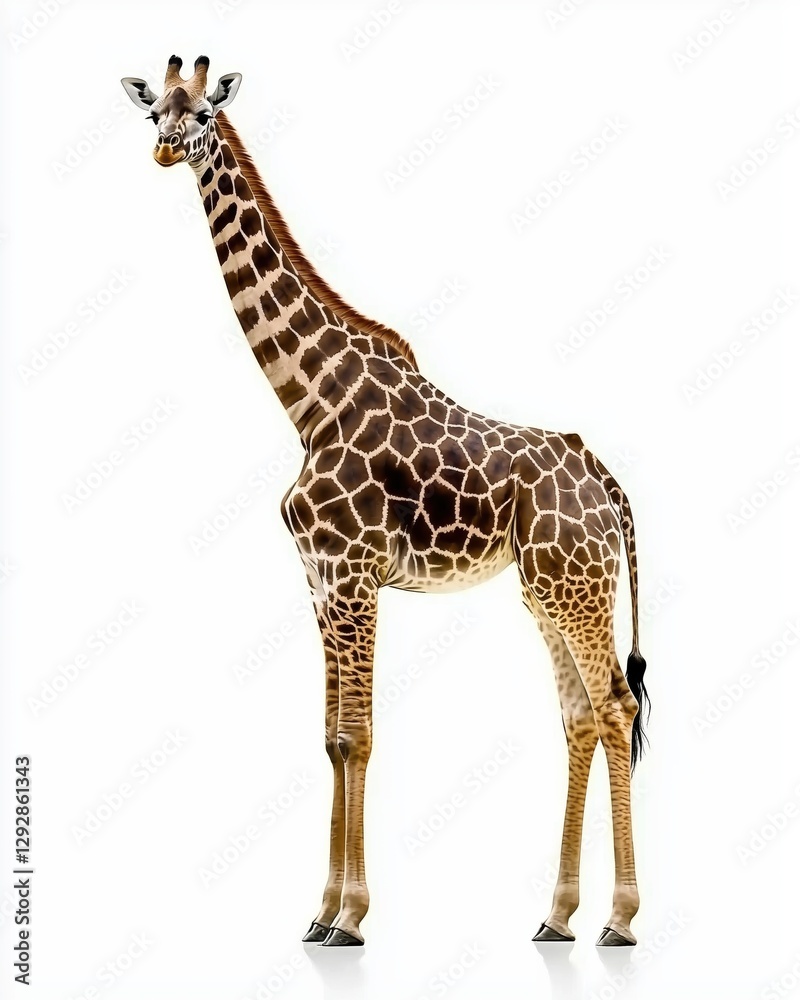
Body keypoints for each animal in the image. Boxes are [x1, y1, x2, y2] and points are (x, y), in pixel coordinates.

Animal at [121, 56, 650, 949]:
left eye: (202, 116)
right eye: (155, 109)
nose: (163, 150)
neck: (308, 402)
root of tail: (607, 482)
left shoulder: (354, 573)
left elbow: (359, 736)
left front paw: (352, 918)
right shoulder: (321, 580)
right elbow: (332, 738)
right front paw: (321, 912)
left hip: (576, 586)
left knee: (614, 704)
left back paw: (619, 918)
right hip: (547, 589)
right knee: (580, 713)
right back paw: (556, 916)